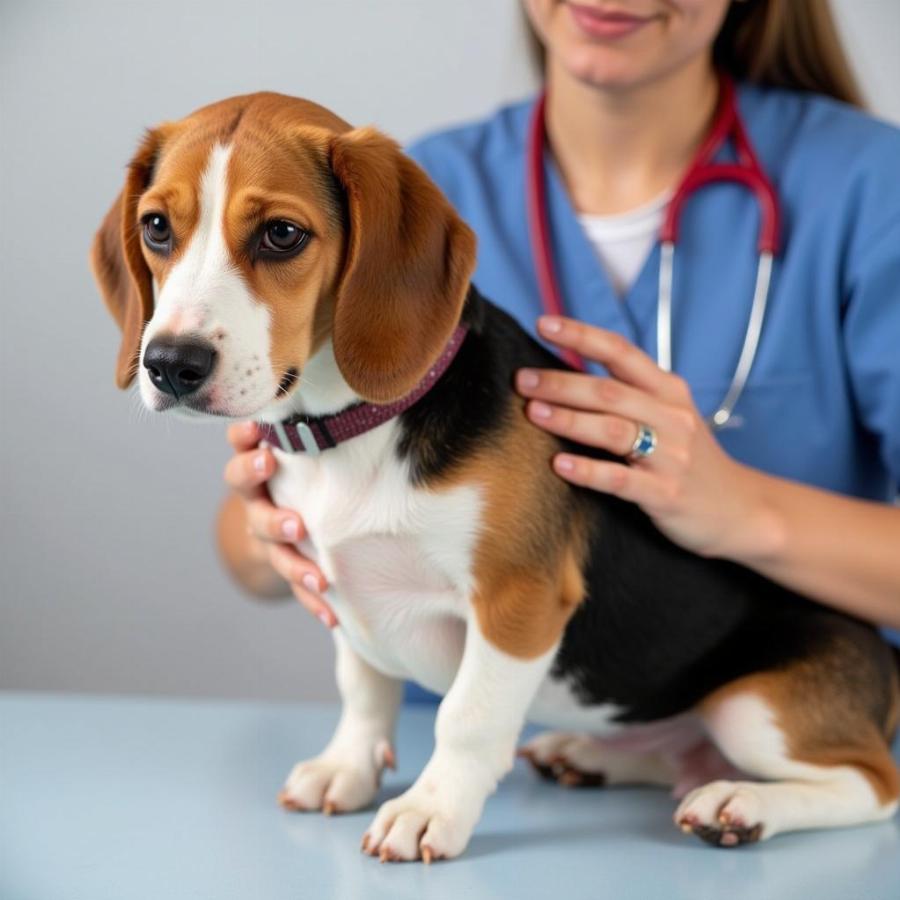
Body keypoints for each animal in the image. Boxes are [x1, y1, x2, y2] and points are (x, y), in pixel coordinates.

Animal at [93, 93, 900, 864]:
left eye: (282, 235)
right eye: (157, 227)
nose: (170, 364)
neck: (352, 432)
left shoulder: (518, 598)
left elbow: (468, 718)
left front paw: (429, 811)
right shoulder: (337, 589)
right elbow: (363, 689)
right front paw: (346, 768)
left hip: (753, 709)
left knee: (870, 786)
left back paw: (740, 805)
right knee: (680, 752)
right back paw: (593, 756)